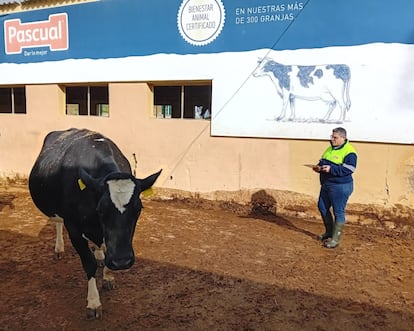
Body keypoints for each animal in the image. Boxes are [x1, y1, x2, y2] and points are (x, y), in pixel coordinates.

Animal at [28, 128, 162, 320]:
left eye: (138, 209)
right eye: (101, 210)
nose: (121, 261)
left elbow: (105, 249)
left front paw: (108, 277)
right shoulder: (74, 228)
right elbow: (88, 263)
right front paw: (93, 302)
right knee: (58, 223)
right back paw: (59, 248)